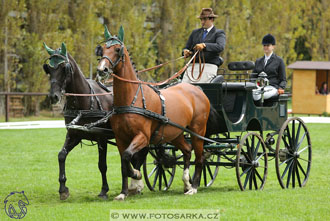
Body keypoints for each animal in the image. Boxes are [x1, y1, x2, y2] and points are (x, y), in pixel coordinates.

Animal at [42, 42, 146, 200]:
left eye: (64, 68)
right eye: (48, 69)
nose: (54, 96)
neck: (83, 103)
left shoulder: (101, 138)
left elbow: (102, 165)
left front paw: (104, 190)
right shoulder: (74, 135)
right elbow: (61, 155)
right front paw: (63, 189)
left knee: (139, 157)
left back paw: (136, 184)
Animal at [96, 25, 213, 200]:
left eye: (117, 49)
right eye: (102, 49)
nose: (101, 69)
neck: (132, 99)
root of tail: (197, 89)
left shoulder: (143, 137)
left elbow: (128, 157)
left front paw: (136, 176)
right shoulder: (120, 138)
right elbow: (124, 162)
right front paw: (124, 192)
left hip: (198, 131)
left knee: (199, 158)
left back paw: (194, 187)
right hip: (175, 133)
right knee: (187, 150)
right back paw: (186, 182)